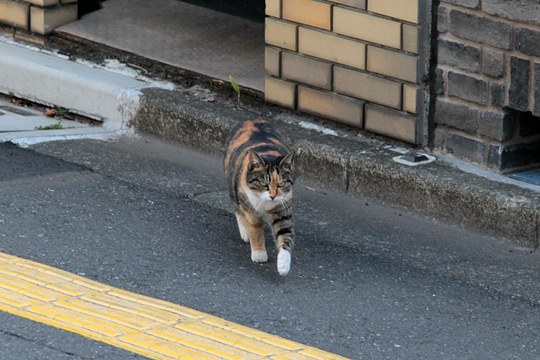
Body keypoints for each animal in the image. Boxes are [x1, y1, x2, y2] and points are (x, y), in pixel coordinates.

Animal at [225, 119, 296, 274]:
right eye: (264, 184)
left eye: (281, 184)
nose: (273, 196)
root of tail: (252, 120)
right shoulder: (249, 207)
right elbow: (255, 230)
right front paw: (259, 254)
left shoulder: (282, 208)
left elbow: (284, 233)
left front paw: (283, 265)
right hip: (233, 185)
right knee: (237, 208)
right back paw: (245, 232)